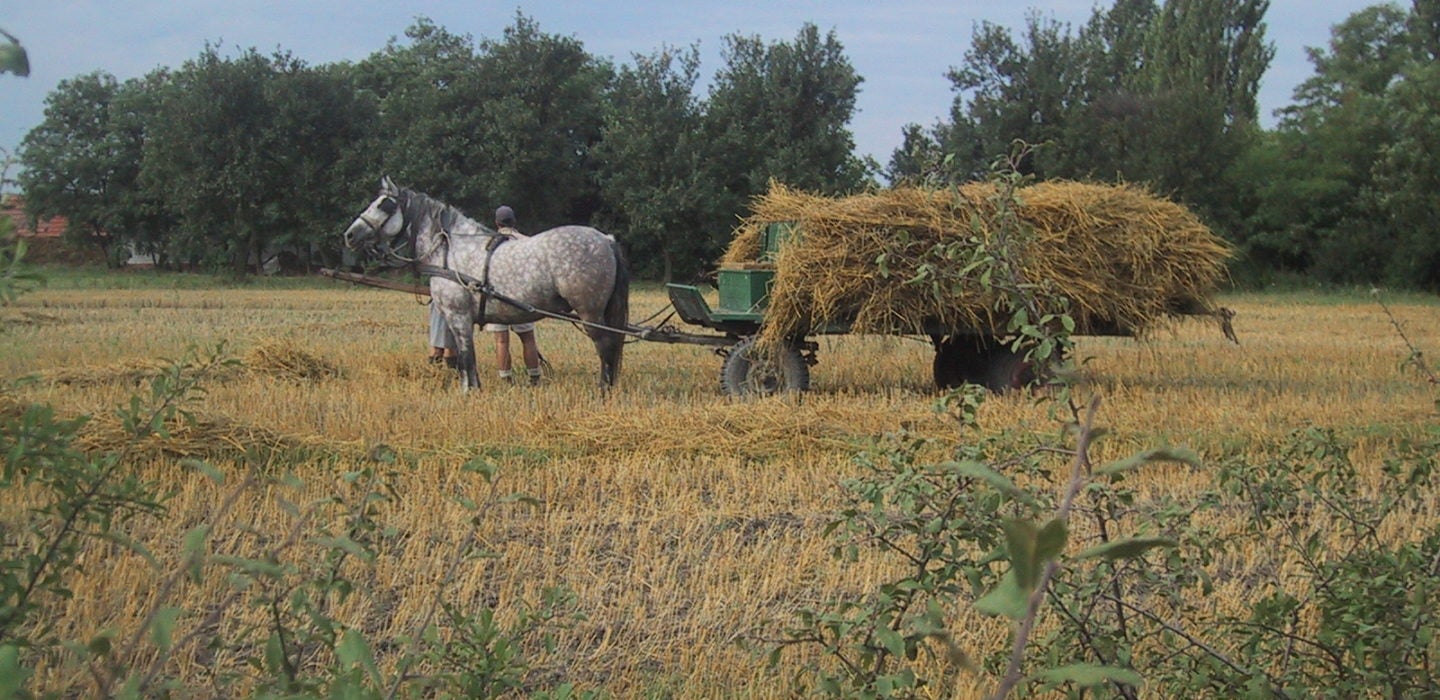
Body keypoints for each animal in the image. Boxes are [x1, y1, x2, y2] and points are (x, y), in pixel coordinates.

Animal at [342, 175, 630, 391]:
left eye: (384, 205)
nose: (350, 234)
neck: (449, 251)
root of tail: (605, 239)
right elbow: (464, 357)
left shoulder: (457, 315)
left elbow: (466, 356)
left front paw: (470, 391)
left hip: (589, 311)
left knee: (605, 346)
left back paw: (603, 390)